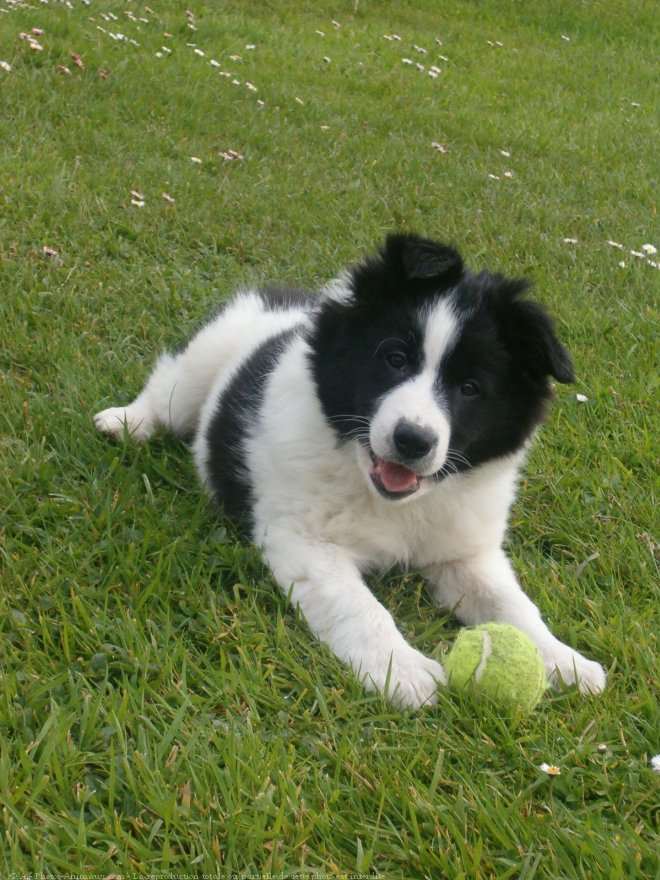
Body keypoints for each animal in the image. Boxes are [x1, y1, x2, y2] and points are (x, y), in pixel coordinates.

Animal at [95, 232, 604, 708]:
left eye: (471, 388)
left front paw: (565, 661)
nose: (412, 440)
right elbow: (360, 606)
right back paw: (124, 421)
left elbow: (512, 604)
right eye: (395, 359)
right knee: (167, 391)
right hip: (203, 361)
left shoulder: (466, 551)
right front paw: (405, 673)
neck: (388, 496)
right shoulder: (303, 540)